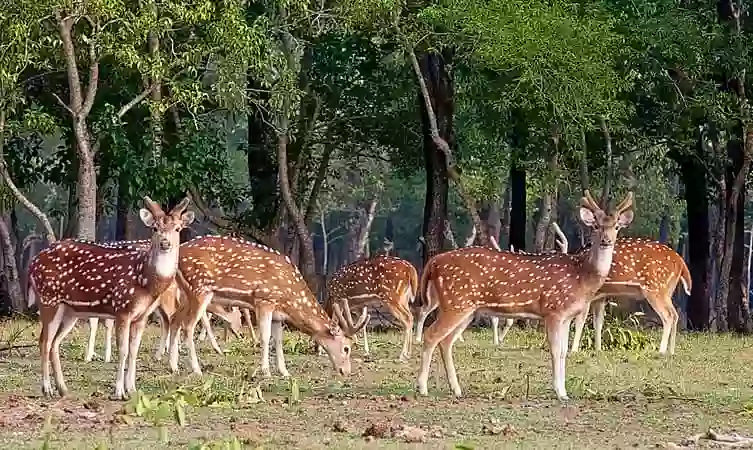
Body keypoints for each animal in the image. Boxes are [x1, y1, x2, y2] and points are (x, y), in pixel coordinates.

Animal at [27, 197, 195, 399]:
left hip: (69, 310)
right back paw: (47, 389)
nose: (165, 243)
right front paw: (119, 391)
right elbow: (122, 351)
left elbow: (134, 350)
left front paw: (132, 389)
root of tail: (32, 263)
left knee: (55, 343)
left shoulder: (142, 316)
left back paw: (63, 388)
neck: (145, 281)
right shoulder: (122, 308)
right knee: (44, 341)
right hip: (48, 299)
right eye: (155, 228)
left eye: (177, 228)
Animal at [166, 235, 370, 378]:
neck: (289, 299)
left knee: (174, 320)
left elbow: (278, 340)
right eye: (346, 348)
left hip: (185, 293)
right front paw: (265, 371)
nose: (346, 372)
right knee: (188, 326)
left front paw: (284, 372)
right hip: (200, 288)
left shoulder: (278, 314)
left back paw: (174, 367)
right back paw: (196, 369)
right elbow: (265, 337)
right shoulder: (264, 300)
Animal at [416, 191, 634, 401]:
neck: (581, 277)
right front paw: (559, 392)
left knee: (446, 342)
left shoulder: (567, 316)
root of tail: (434, 261)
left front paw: (564, 392)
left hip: (466, 309)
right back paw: (423, 388)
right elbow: (555, 351)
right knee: (431, 335)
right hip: (455, 302)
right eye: (596, 226)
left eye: (616, 227)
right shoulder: (553, 310)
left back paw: (457, 390)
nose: (606, 240)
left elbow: (564, 352)